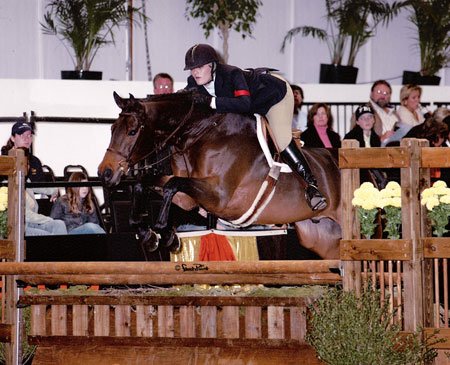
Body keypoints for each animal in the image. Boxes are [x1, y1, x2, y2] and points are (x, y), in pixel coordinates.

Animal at [96, 90, 342, 258]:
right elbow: (146, 182)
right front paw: (147, 234)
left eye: (132, 131)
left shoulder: (219, 196)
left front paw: (165, 234)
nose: (105, 173)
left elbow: (172, 183)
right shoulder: (189, 198)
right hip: (321, 237)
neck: (201, 134)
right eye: (111, 129)